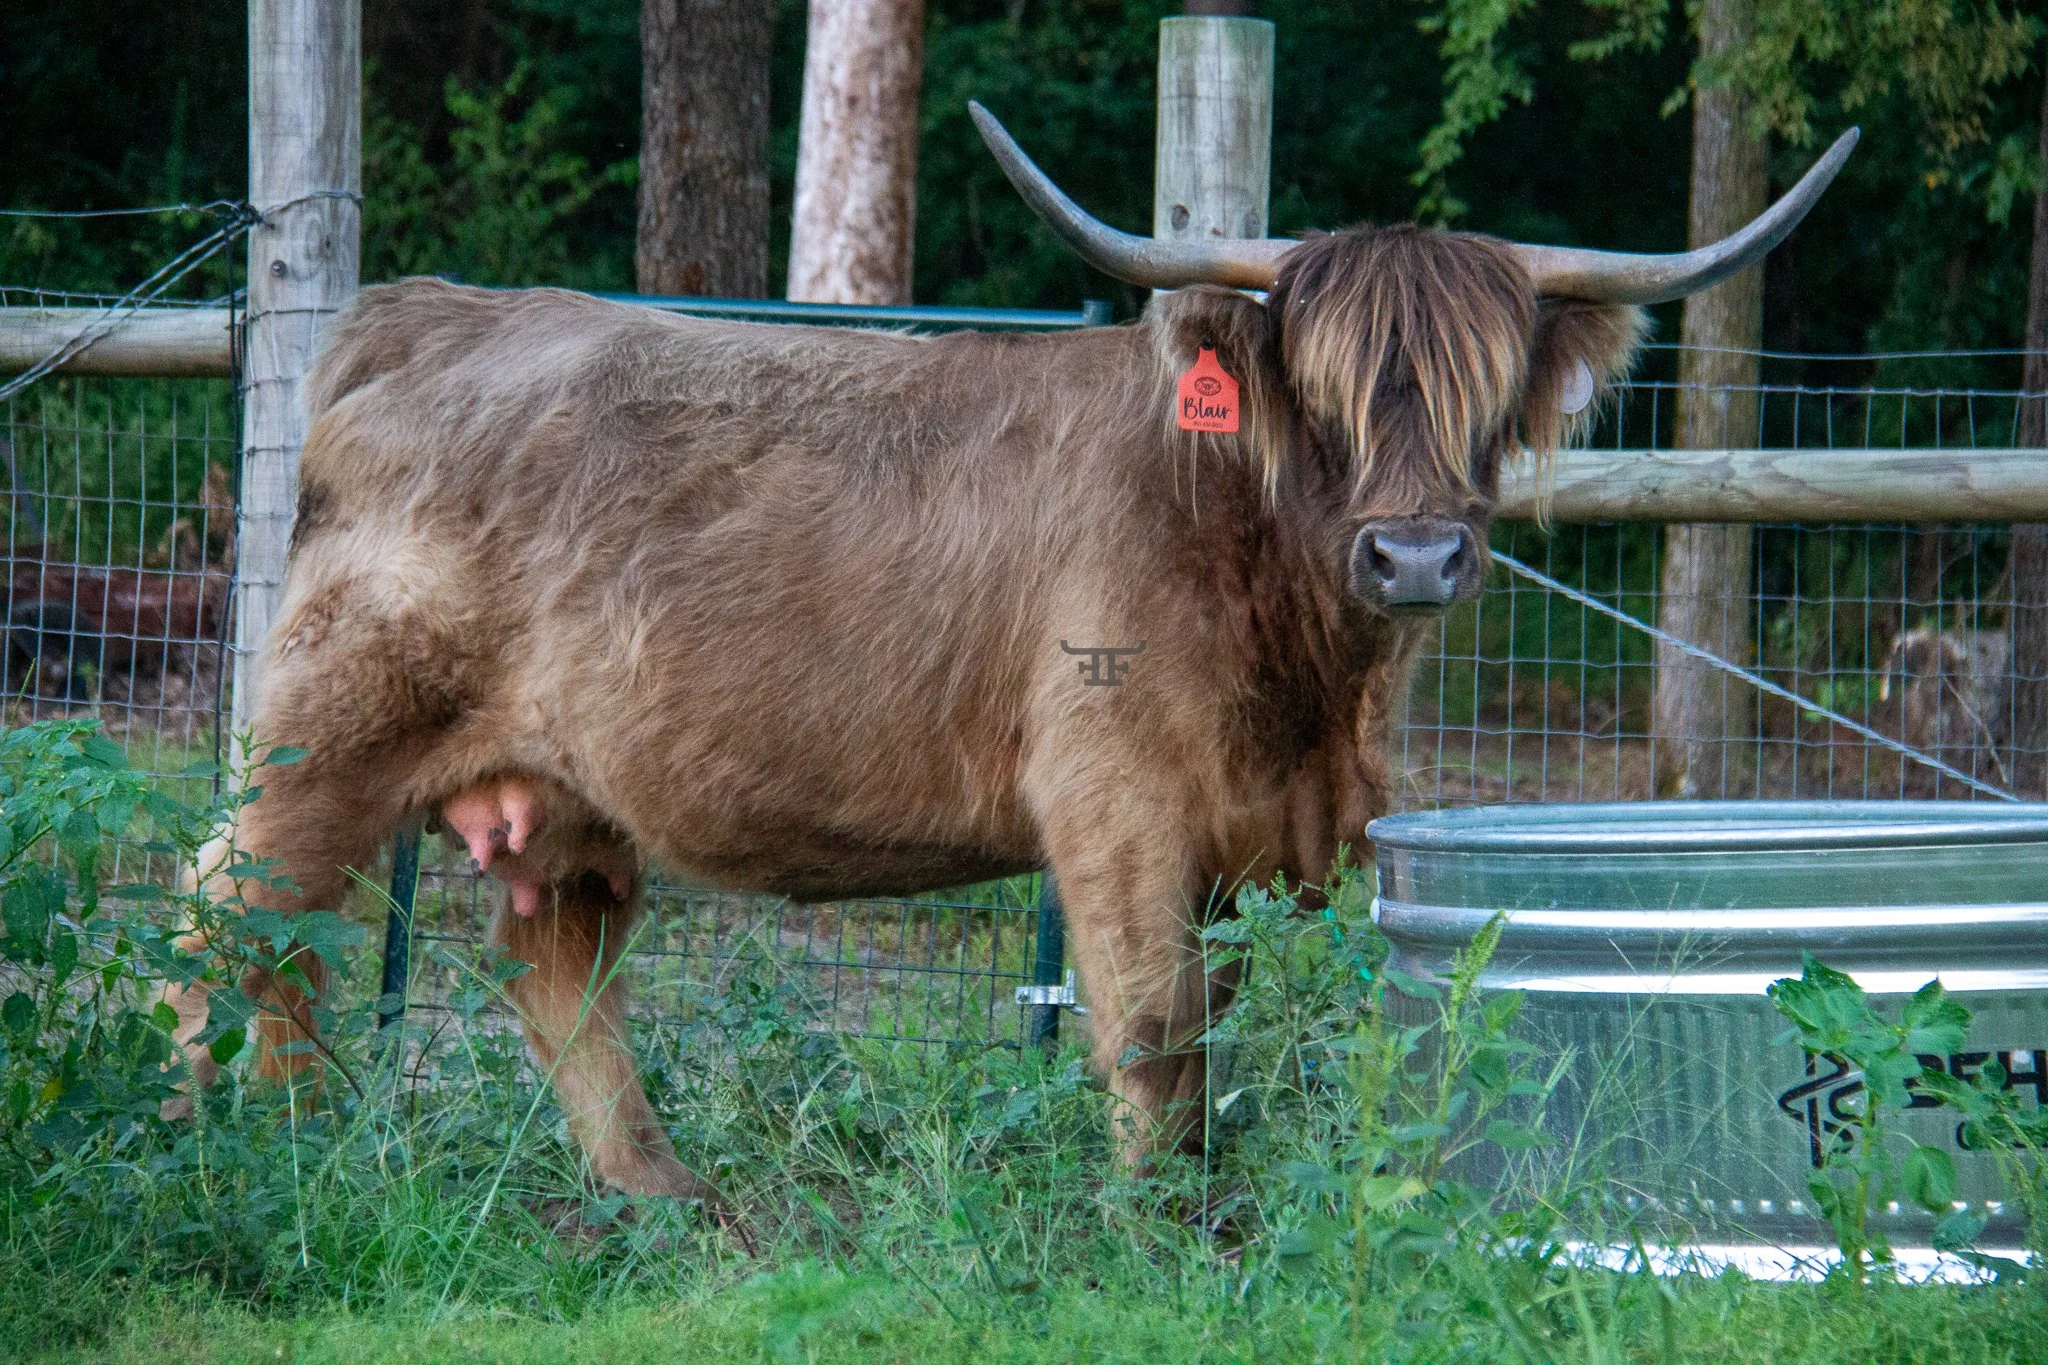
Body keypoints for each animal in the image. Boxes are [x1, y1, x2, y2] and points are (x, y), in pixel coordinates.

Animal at [160, 105, 1856, 1219]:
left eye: (1489, 396)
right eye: (1317, 394)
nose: (1419, 558)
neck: (1307, 678)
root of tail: (419, 315)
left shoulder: (1291, 830)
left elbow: (1250, 1040)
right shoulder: (1114, 806)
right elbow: (1155, 1032)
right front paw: (1157, 1235)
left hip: (562, 795)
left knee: (547, 962)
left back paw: (665, 1203)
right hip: (323, 738)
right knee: (232, 914)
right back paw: (225, 1151)